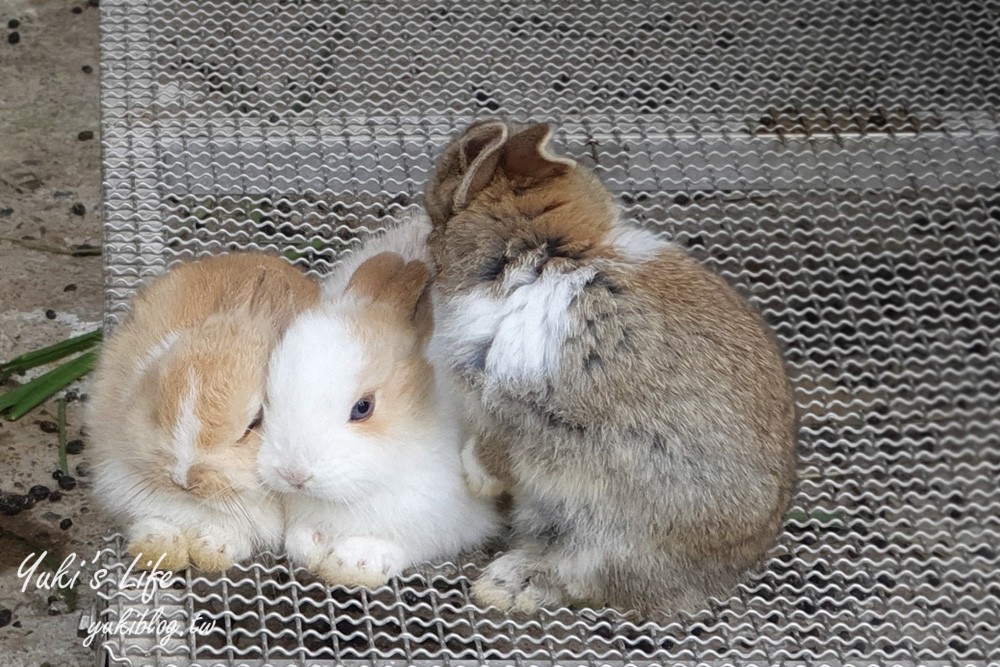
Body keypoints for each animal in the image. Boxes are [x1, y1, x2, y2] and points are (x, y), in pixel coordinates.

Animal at [424, 120, 796, 616]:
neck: (547, 256)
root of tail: (726, 572)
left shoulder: (514, 408)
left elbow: (495, 451)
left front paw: (475, 478)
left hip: (606, 529)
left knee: (579, 573)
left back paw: (505, 585)